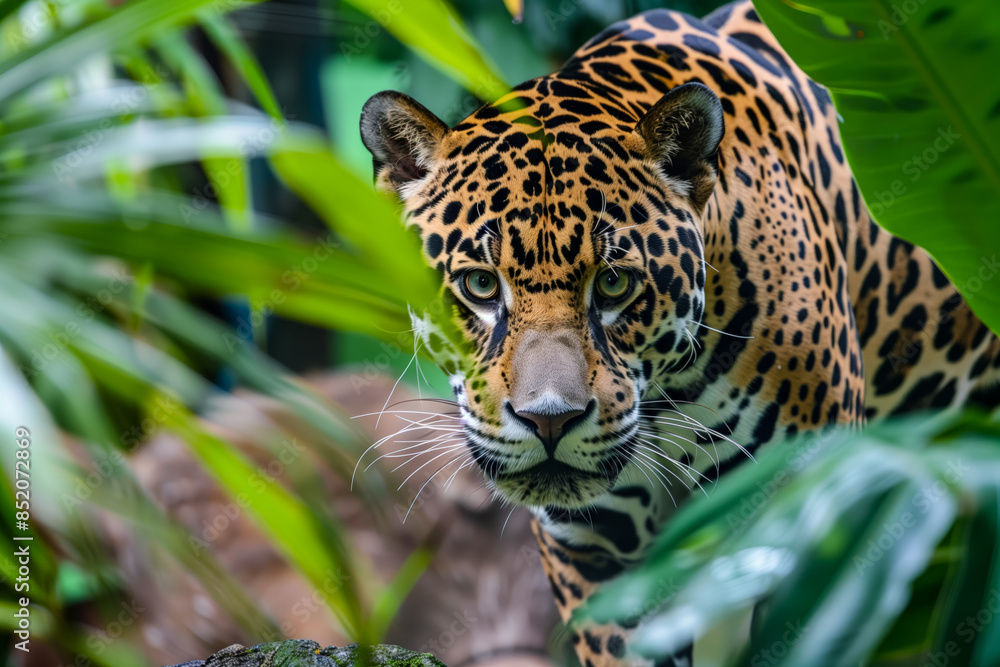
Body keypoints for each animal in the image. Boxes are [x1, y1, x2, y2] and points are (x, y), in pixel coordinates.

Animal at [359, 2, 1000, 665]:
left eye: (614, 284)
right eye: (481, 285)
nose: (549, 420)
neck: (669, 397)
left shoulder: (812, 515)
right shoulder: (597, 554)